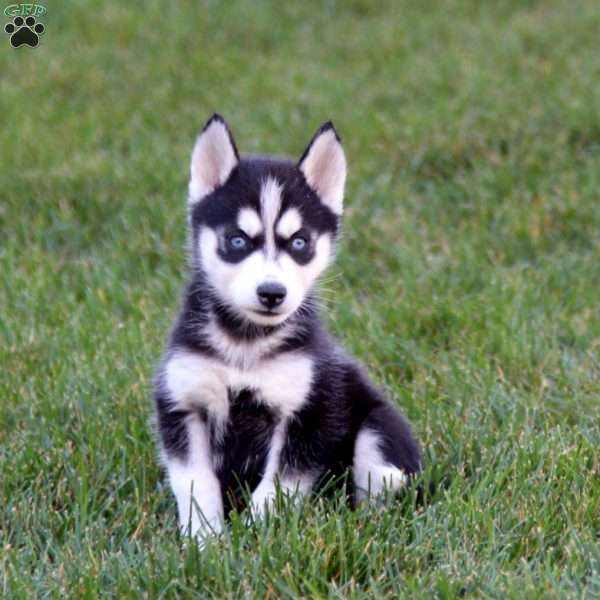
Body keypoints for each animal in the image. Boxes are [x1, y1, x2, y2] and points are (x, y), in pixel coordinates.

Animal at [155, 113, 422, 540]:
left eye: (299, 243)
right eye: (237, 240)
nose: (272, 293)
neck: (245, 343)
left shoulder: (310, 410)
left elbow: (280, 484)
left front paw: (256, 534)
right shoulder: (183, 402)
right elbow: (194, 481)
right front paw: (205, 538)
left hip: (377, 429)